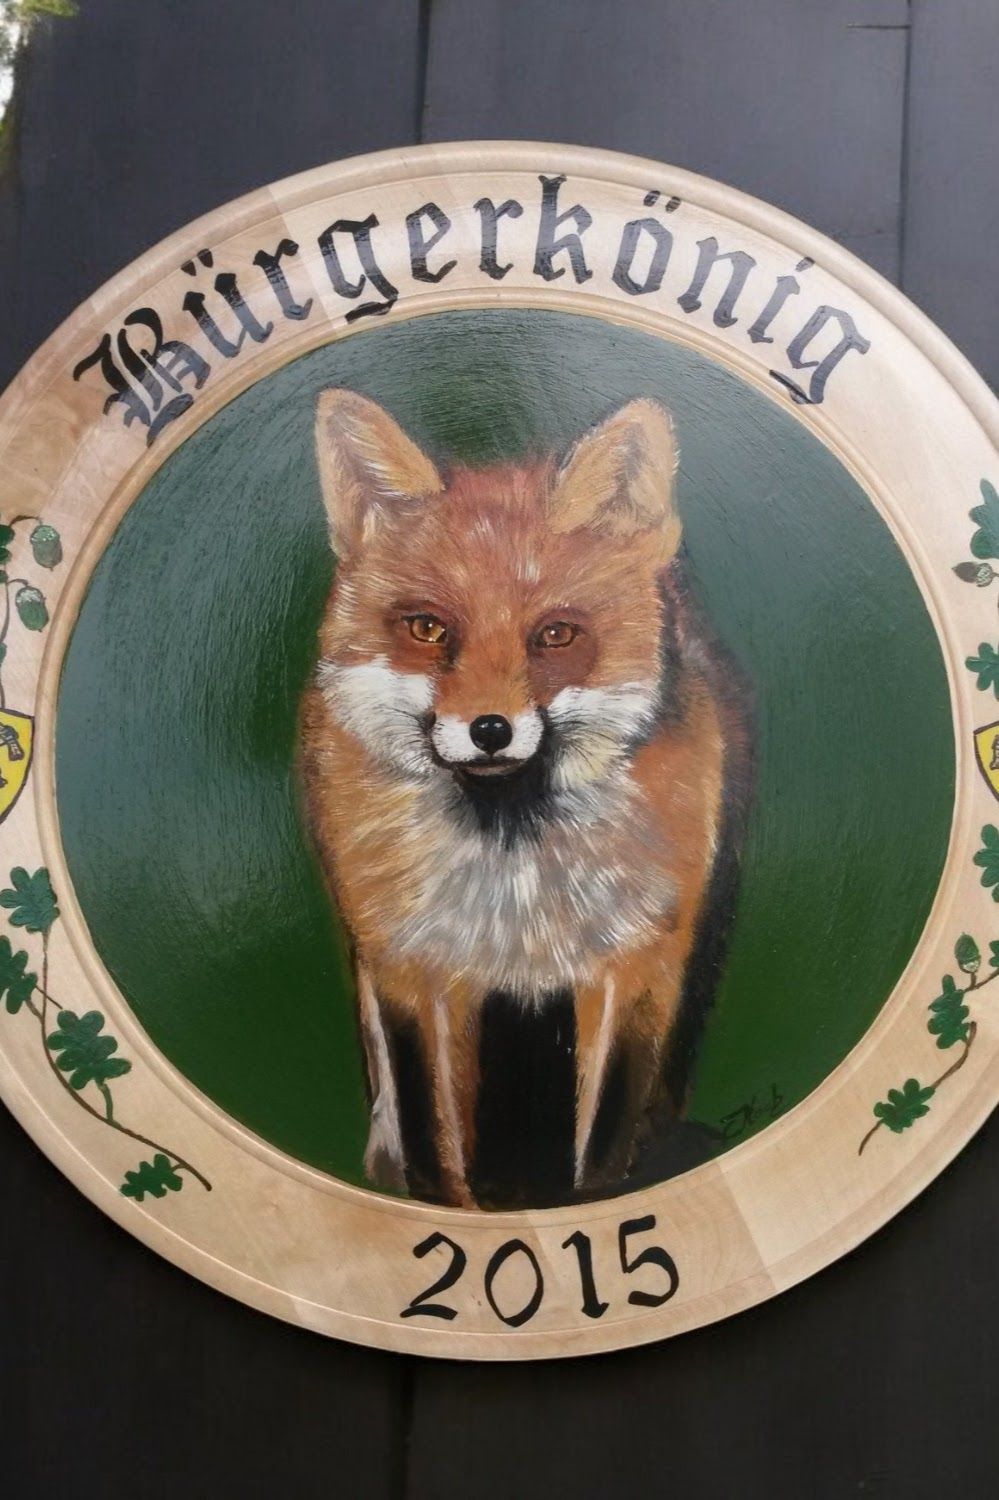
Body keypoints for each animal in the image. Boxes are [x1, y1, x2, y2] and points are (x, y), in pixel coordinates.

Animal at [300, 388, 752, 1210]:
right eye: (427, 628)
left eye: (555, 635)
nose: (489, 729)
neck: (513, 874)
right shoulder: (410, 969)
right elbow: (434, 1143)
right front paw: (445, 1208)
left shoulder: (638, 968)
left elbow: (602, 1141)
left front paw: (595, 1201)